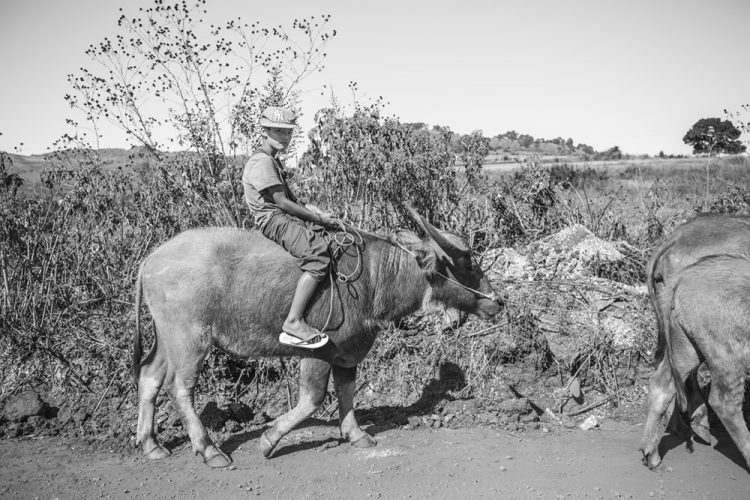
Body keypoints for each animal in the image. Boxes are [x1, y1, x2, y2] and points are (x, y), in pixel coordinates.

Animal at [134, 209, 506, 466]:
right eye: (468, 264)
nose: (497, 302)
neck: (373, 277)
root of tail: (150, 260)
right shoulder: (316, 352)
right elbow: (312, 399)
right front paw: (268, 440)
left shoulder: (349, 352)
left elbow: (347, 392)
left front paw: (356, 434)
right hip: (190, 340)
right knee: (180, 387)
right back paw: (209, 449)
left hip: (166, 339)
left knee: (149, 375)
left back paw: (151, 444)